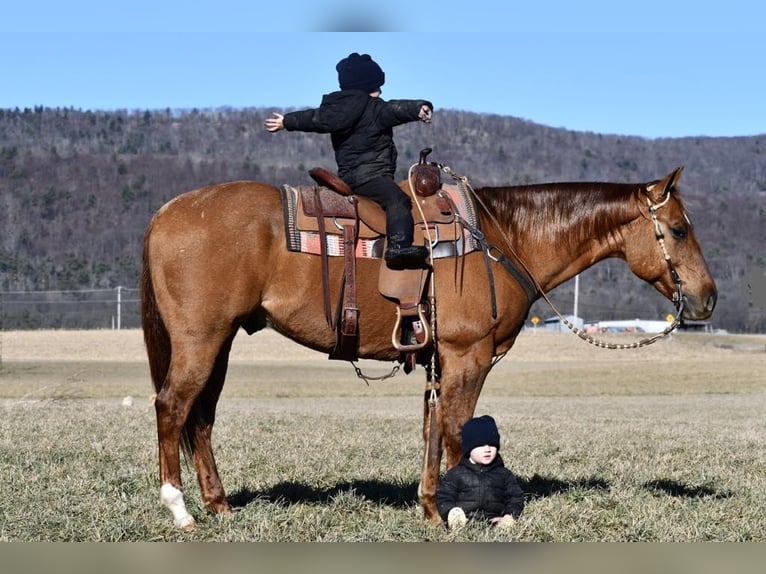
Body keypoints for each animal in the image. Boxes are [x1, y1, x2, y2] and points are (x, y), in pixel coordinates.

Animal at [140, 164, 720, 528]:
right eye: (678, 230)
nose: (708, 298)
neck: (503, 238)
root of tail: (167, 211)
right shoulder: (469, 354)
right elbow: (458, 429)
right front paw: (458, 513)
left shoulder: (438, 361)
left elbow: (432, 430)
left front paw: (430, 506)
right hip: (200, 340)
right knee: (173, 406)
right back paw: (180, 509)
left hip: (220, 343)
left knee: (201, 418)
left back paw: (219, 507)